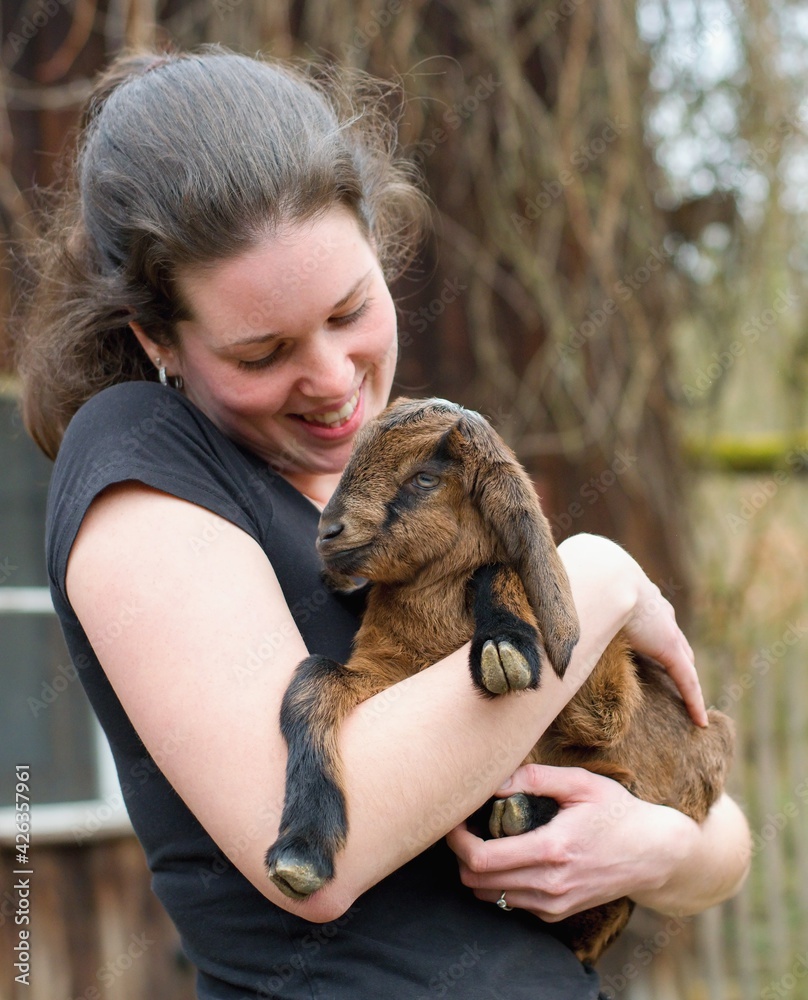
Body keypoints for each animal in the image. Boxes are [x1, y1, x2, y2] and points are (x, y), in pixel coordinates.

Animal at [268, 394, 736, 964]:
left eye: (425, 478)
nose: (327, 533)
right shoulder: (388, 675)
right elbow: (313, 680)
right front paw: (301, 852)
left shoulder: (606, 699)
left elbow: (497, 569)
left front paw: (505, 646)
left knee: (616, 811)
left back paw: (519, 812)